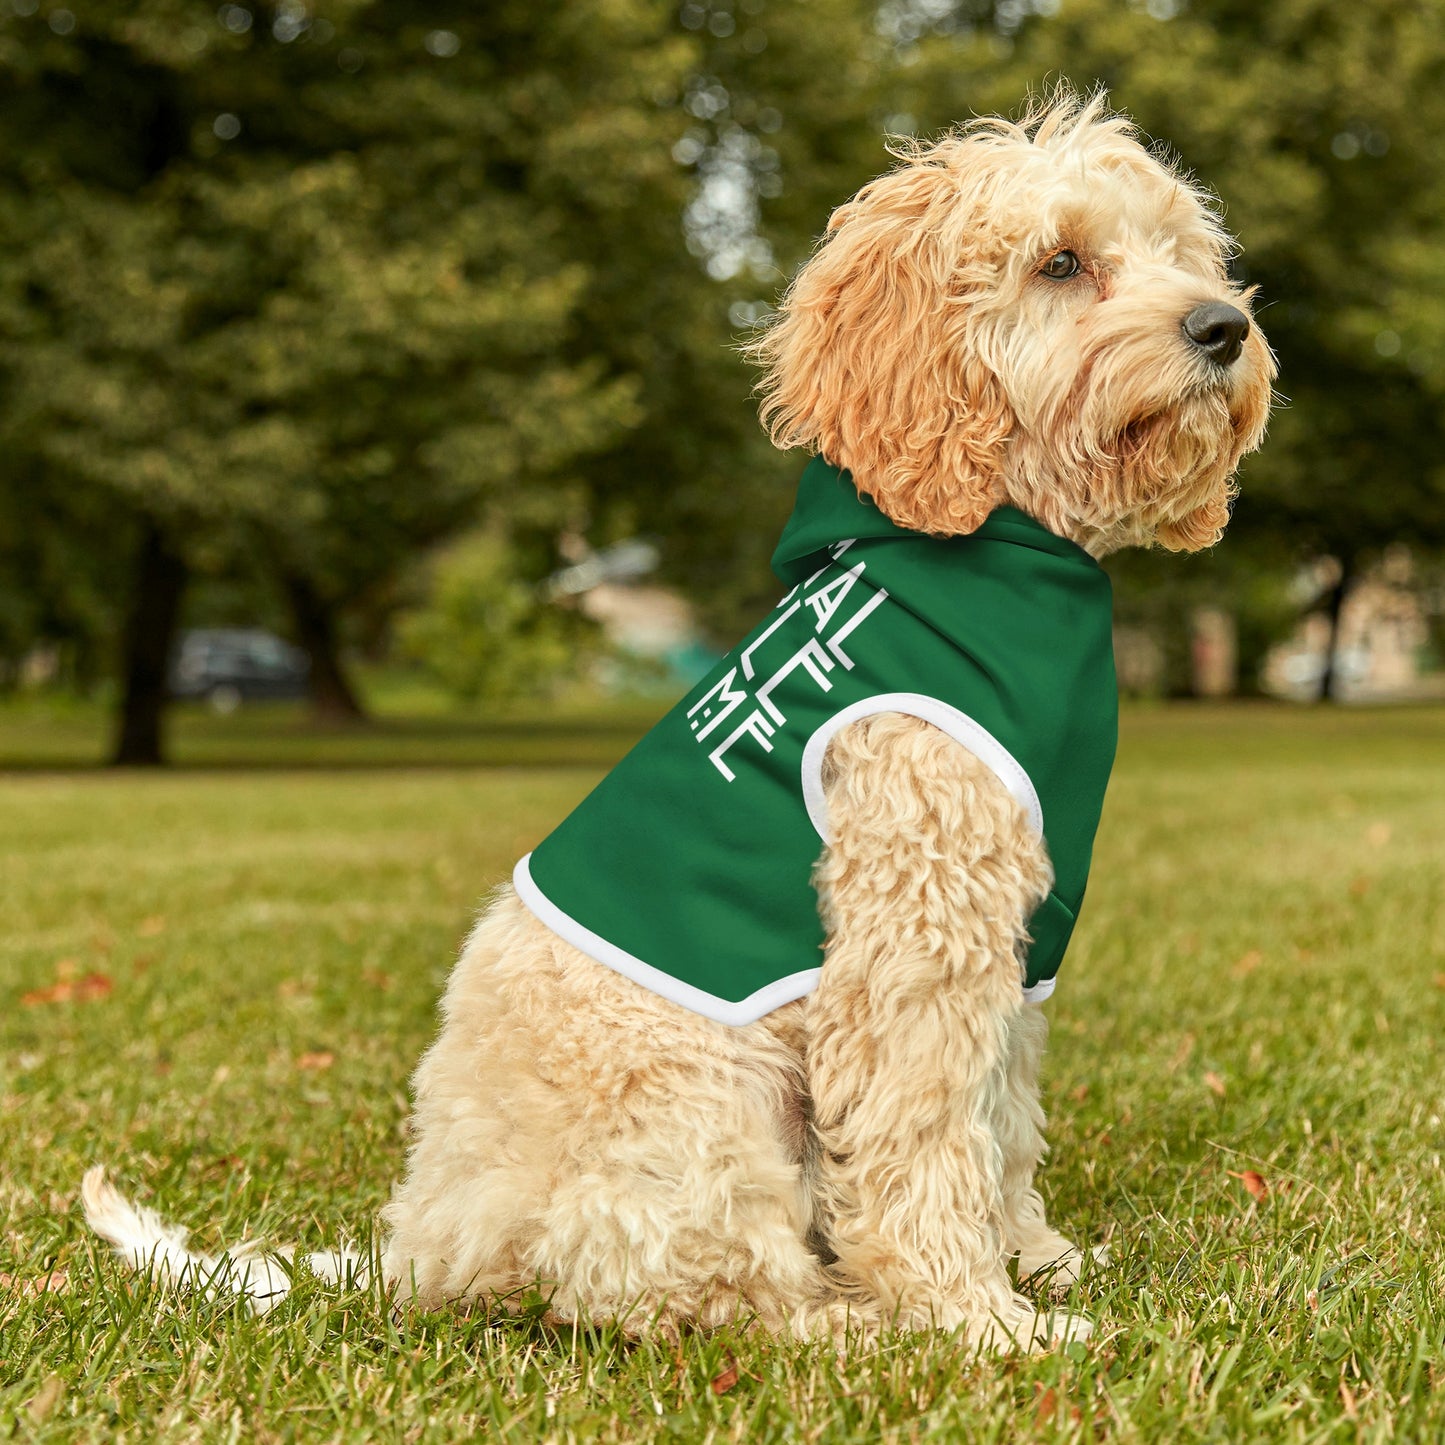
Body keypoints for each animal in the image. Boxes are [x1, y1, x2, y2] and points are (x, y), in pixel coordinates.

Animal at [84, 93, 1271, 1352]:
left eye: (1180, 252)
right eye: (1059, 262)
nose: (1222, 327)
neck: (996, 544)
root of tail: (424, 1245)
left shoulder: (1013, 942)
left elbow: (999, 1120)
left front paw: (1034, 1260)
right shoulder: (913, 934)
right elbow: (924, 1136)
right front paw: (976, 1318)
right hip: (705, 1103)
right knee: (697, 1290)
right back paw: (852, 1322)